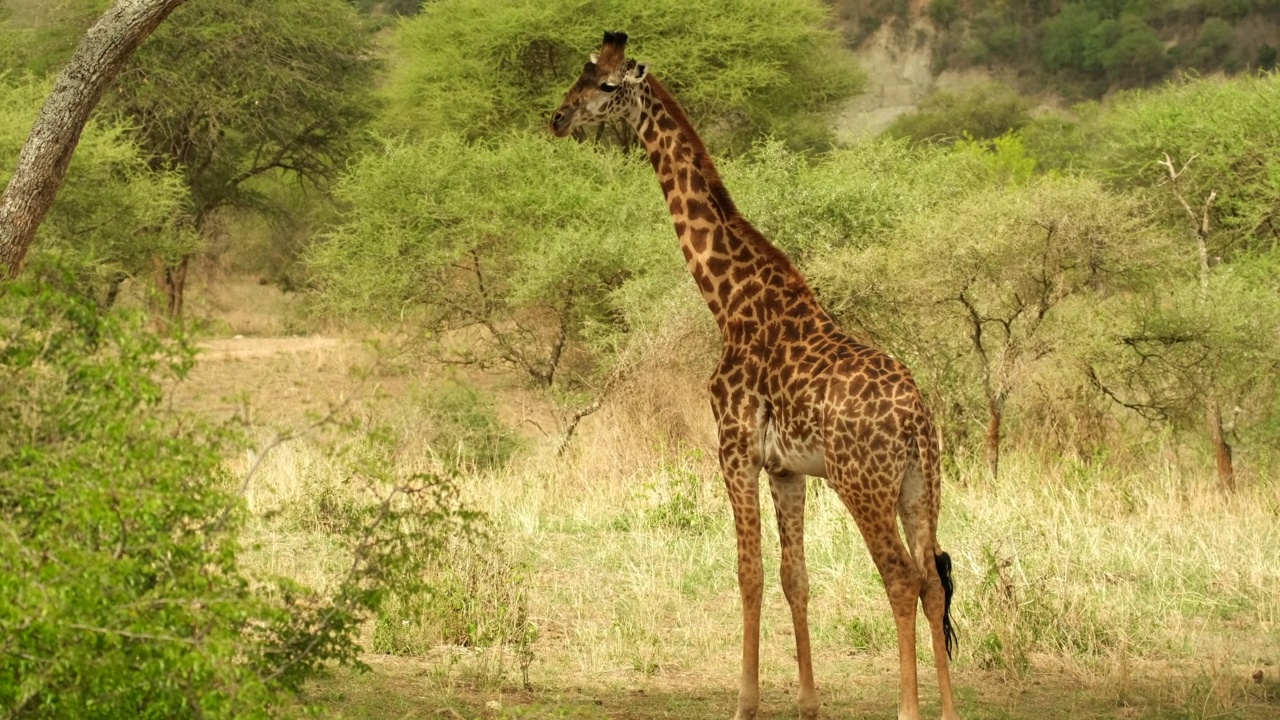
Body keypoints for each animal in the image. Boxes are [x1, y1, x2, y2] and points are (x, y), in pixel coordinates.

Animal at [550, 32, 962, 717]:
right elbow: (795, 578)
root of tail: (915, 421)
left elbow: (749, 573)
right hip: (920, 486)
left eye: (606, 86)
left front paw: (745, 702)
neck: (729, 299)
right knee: (933, 580)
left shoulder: (734, 447)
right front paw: (808, 704)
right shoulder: (785, 468)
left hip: (862, 483)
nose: (557, 118)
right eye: (579, 74)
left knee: (901, 580)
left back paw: (909, 707)